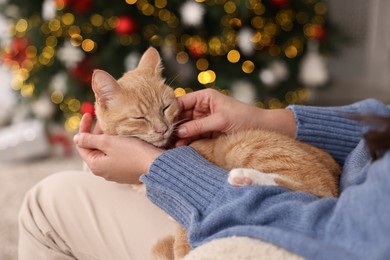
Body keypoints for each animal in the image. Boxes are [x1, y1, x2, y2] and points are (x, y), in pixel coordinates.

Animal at [90, 47, 340, 258]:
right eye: (139, 117)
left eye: (165, 108)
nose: (162, 129)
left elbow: (182, 238)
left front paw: (182, 251)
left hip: (241, 147)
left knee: (306, 194)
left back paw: (243, 177)